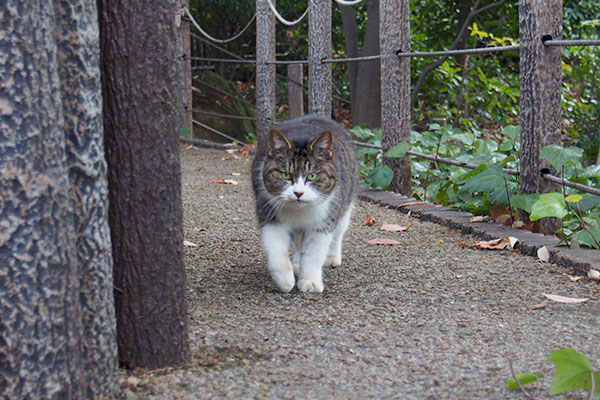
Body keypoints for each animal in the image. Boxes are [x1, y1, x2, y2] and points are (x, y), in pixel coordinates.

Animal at [252, 114, 358, 292]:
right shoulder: (270, 215)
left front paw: (310, 282)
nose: (298, 193)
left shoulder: (322, 223)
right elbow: (276, 250)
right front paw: (285, 280)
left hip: (344, 206)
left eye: (313, 176)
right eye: (286, 175)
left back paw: (331, 257)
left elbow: (313, 254)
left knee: (338, 233)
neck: (298, 211)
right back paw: (295, 264)